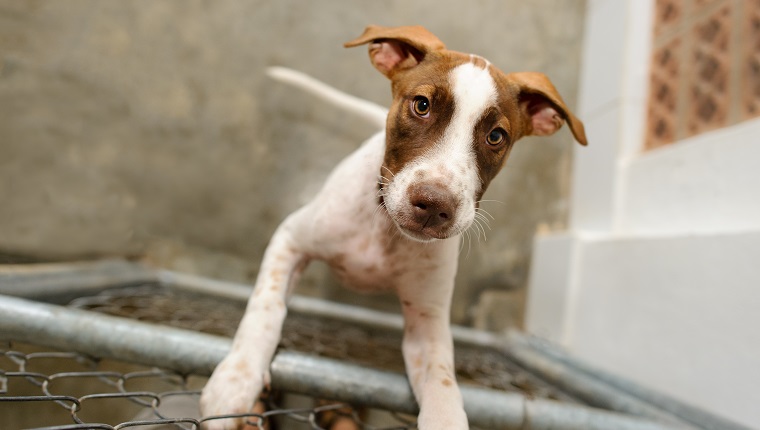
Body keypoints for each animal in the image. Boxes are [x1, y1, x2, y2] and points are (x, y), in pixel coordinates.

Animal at [199, 25, 584, 428]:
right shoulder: (289, 239)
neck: (385, 228)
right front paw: (235, 380)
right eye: (422, 105)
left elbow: (443, 383)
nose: (435, 205)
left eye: (496, 136)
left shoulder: (427, 325)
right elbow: (265, 307)